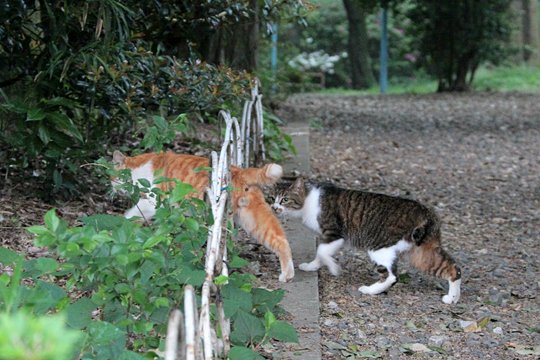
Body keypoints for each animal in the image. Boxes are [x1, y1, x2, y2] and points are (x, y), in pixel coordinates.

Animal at [110, 150, 296, 282]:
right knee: (280, 239)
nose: (111, 189)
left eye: (113, 177)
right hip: (253, 220)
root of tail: (240, 170)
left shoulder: (151, 204)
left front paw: (119, 230)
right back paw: (288, 274)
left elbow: (130, 215)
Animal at [272, 177, 462, 304]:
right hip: (420, 253)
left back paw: (369, 290)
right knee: (453, 269)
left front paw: (334, 268)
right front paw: (312, 266)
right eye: (272, 198)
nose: (274, 208)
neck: (308, 202)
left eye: (285, 199)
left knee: (392, 276)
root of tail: (425, 212)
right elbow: (321, 254)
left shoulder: (334, 233)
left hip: (379, 247)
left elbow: (322, 252)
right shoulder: (331, 238)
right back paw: (452, 298)